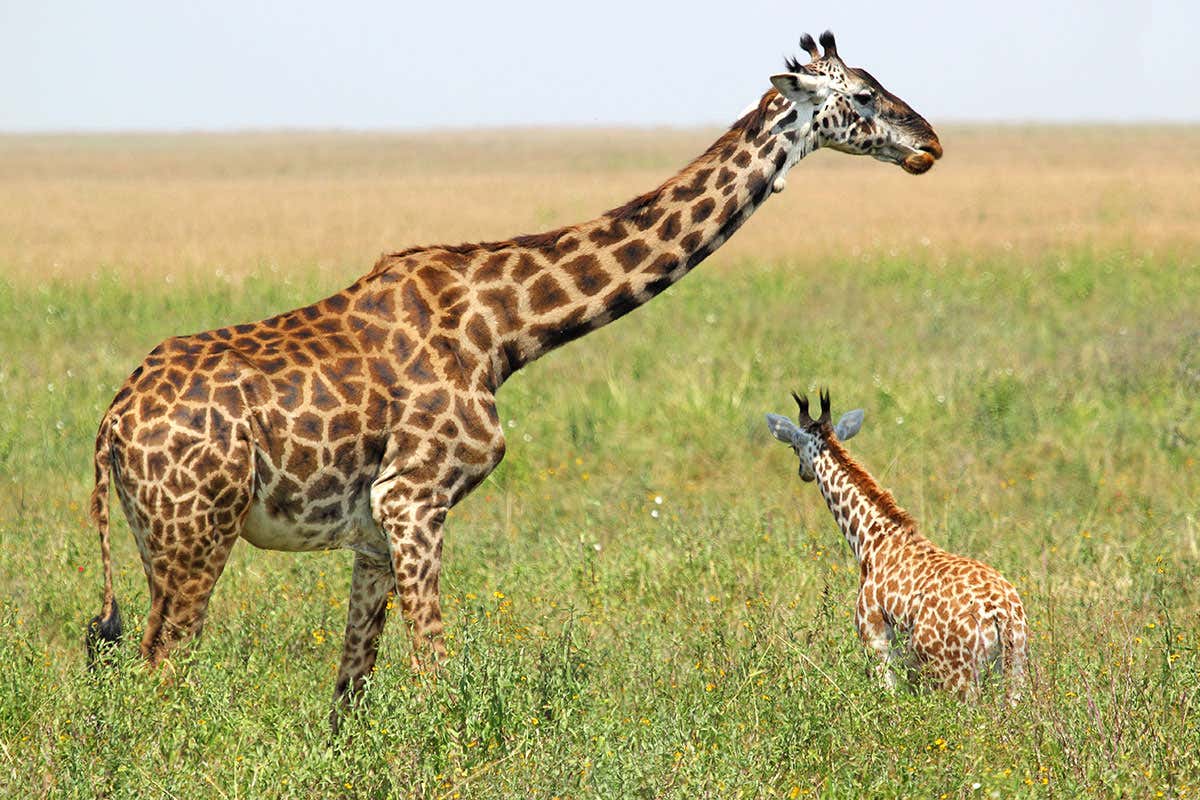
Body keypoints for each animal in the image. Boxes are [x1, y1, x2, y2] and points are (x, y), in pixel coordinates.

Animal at [85, 32, 942, 724]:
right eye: (864, 95)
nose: (929, 141)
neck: (501, 330)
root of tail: (112, 421)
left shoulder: (373, 526)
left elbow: (351, 686)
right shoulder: (414, 498)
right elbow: (434, 673)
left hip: (155, 534)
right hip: (198, 529)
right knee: (163, 662)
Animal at [765, 390, 1029, 701]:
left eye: (793, 446)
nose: (802, 472)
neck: (871, 539)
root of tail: (1001, 612)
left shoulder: (874, 638)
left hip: (957, 676)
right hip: (1014, 669)